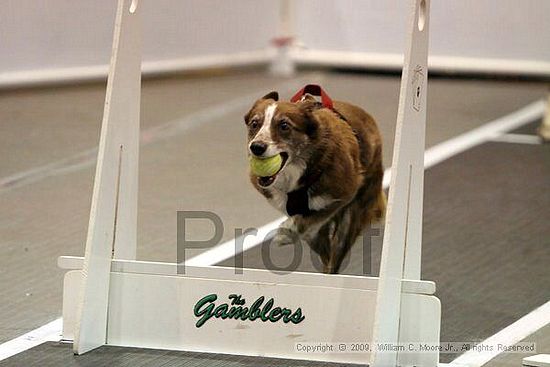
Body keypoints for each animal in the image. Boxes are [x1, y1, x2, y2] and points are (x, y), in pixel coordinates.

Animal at [244, 87, 386, 274]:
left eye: (284, 126)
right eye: (255, 124)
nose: (257, 147)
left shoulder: (345, 193)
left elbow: (313, 218)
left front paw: (286, 232)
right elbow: (306, 223)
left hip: (352, 215)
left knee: (334, 256)